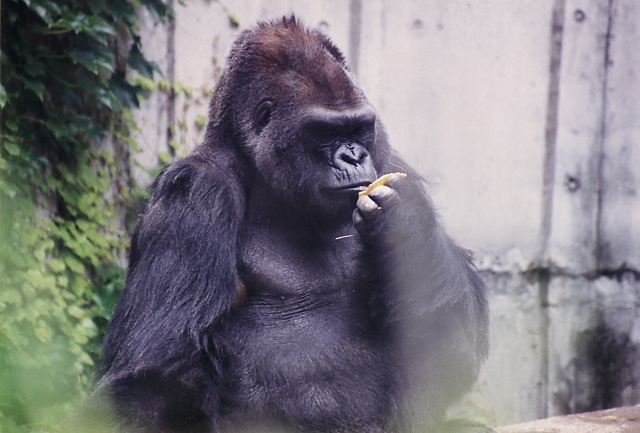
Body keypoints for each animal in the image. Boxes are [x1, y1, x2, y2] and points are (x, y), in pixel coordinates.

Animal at [96, 15, 490, 432]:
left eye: (358, 128)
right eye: (325, 132)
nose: (354, 156)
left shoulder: (389, 160)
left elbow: (454, 333)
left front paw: (407, 228)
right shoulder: (193, 193)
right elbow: (155, 377)